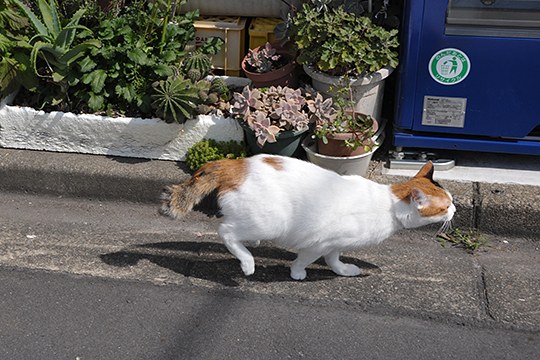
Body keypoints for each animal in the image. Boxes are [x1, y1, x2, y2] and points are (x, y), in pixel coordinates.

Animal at [161, 153, 456, 280]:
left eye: (452, 200)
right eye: (444, 207)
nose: (455, 210)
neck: (388, 205)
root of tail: (236, 164)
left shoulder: (336, 243)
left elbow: (334, 259)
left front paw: (342, 271)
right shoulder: (319, 242)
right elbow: (305, 258)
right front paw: (297, 272)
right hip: (272, 222)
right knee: (226, 232)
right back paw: (247, 262)